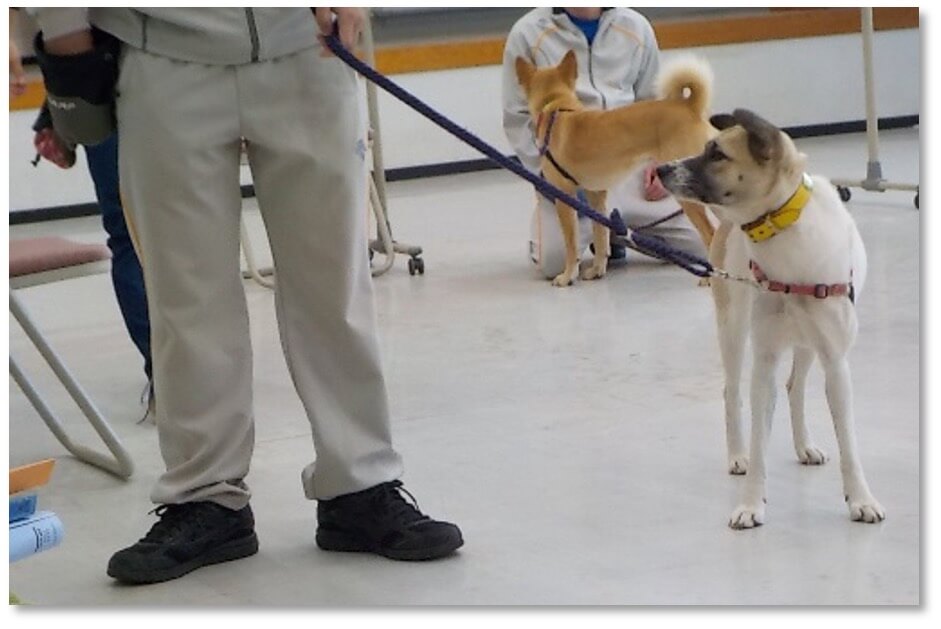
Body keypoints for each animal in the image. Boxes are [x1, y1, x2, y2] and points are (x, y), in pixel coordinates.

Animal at [516, 51, 712, 288]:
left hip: (689, 196)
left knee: (712, 235)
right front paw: (597, 270)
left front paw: (567, 275)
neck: (558, 111)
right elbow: (600, 237)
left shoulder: (564, 196)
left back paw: (711, 277)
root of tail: (690, 107)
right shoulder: (596, 196)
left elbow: (571, 245)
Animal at [656, 109, 884, 528]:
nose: (661, 169)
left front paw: (860, 499)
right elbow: (760, 443)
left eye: (717, 154)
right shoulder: (763, 360)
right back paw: (736, 455)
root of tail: (726, 224)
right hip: (732, 325)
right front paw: (750, 503)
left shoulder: (835, 362)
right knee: (732, 391)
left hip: (807, 341)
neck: (783, 231)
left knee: (795, 387)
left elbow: (848, 442)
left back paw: (804, 446)